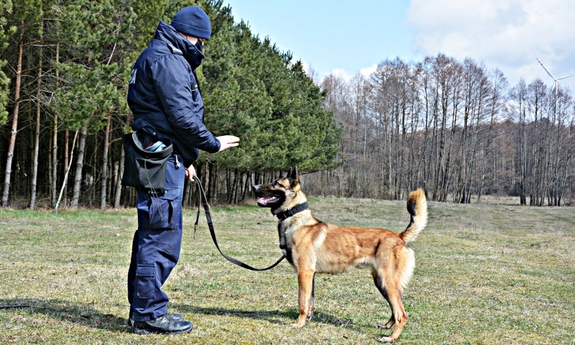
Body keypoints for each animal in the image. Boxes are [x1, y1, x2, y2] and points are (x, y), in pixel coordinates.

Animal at [253, 167, 428, 342]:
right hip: (382, 282)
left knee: (402, 314)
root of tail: (399, 236)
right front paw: (307, 320)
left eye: (275, 183)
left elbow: (302, 302)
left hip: (387, 282)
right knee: (396, 307)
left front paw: (299, 324)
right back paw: (387, 326)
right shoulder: (311, 276)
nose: (254, 187)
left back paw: (391, 338)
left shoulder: (304, 273)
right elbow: (310, 302)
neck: (296, 220)